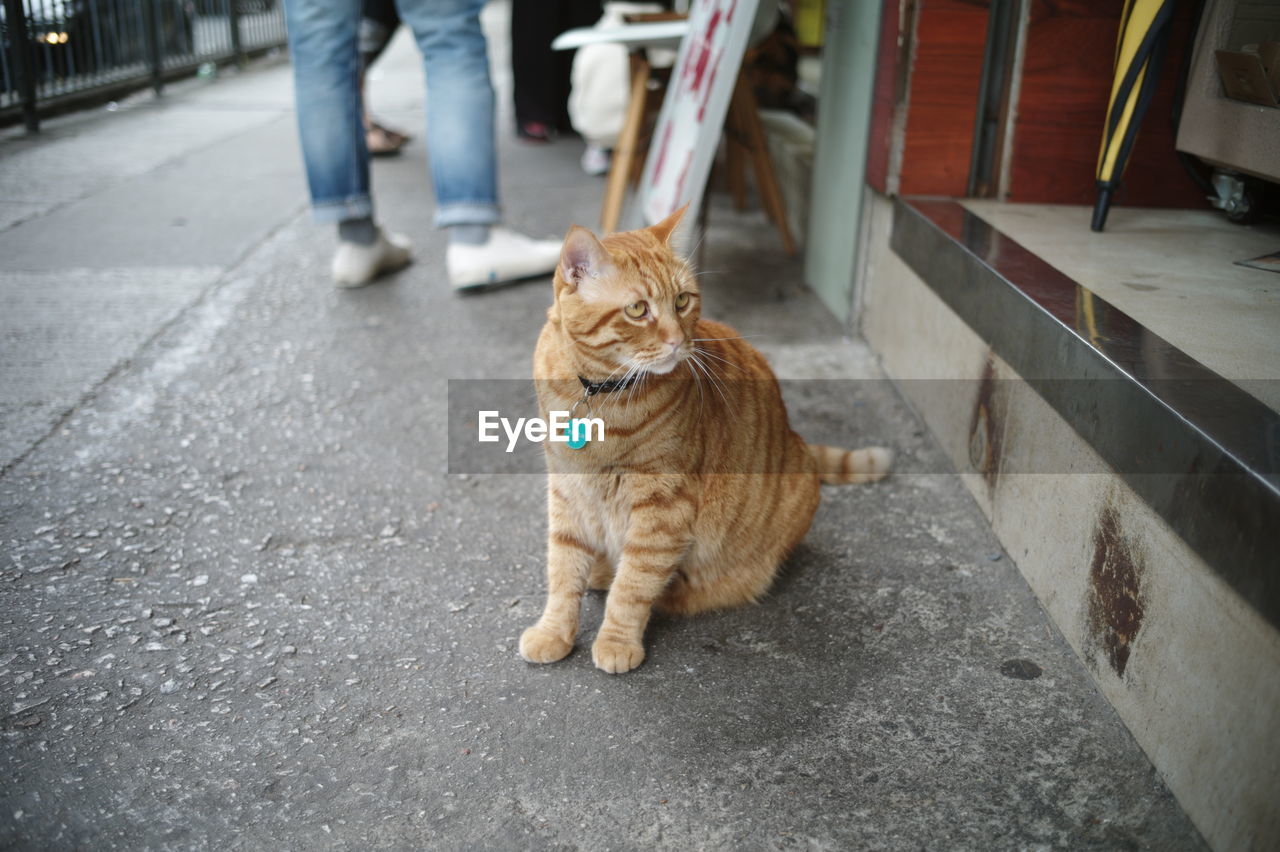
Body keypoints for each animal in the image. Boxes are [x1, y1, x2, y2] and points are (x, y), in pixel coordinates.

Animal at [514, 205, 885, 670]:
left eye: (682, 301)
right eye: (637, 309)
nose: (678, 340)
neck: (598, 391)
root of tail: (794, 436)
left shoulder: (663, 507)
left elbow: (633, 585)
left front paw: (617, 640)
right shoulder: (567, 490)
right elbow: (563, 570)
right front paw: (554, 632)